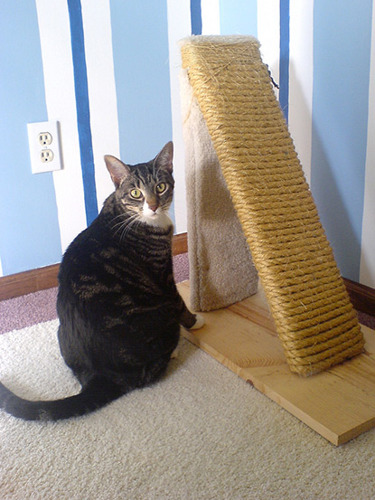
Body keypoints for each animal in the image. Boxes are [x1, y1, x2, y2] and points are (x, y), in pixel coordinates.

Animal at [0, 143, 204, 420]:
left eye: (161, 187)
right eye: (136, 193)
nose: (153, 205)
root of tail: (101, 376)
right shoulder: (162, 273)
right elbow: (179, 301)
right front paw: (196, 321)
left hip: (60, 333)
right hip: (163, 321)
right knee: (150, 372)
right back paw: (172, 353)